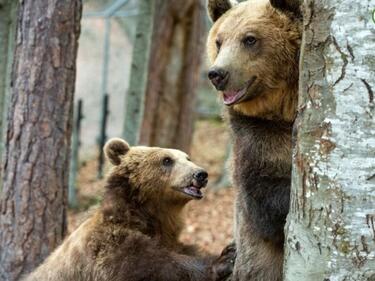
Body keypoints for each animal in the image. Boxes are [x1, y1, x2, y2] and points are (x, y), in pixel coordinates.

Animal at [23, 137, 232, 280]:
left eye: (188, 158)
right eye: (167, 160)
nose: (201, 174)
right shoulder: (108, 247)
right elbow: (151, 266)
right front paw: (223, 260)